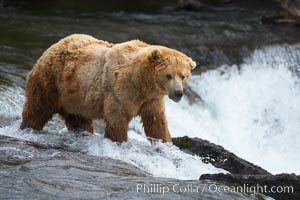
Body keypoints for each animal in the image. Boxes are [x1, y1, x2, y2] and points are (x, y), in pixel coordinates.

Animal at [19, 34, 196, 142]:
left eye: (183, 75)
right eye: (169, 75)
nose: (178, 93)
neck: (142, 83)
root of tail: (51, 47)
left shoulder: (152, 100)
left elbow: (156, 123)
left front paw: (165, 143)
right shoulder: (122, 90)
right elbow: (117, 119)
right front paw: (119, 140)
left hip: (75, 98)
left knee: (79, 120)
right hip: (50, 83)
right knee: (36, 110)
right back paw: (27, 128)